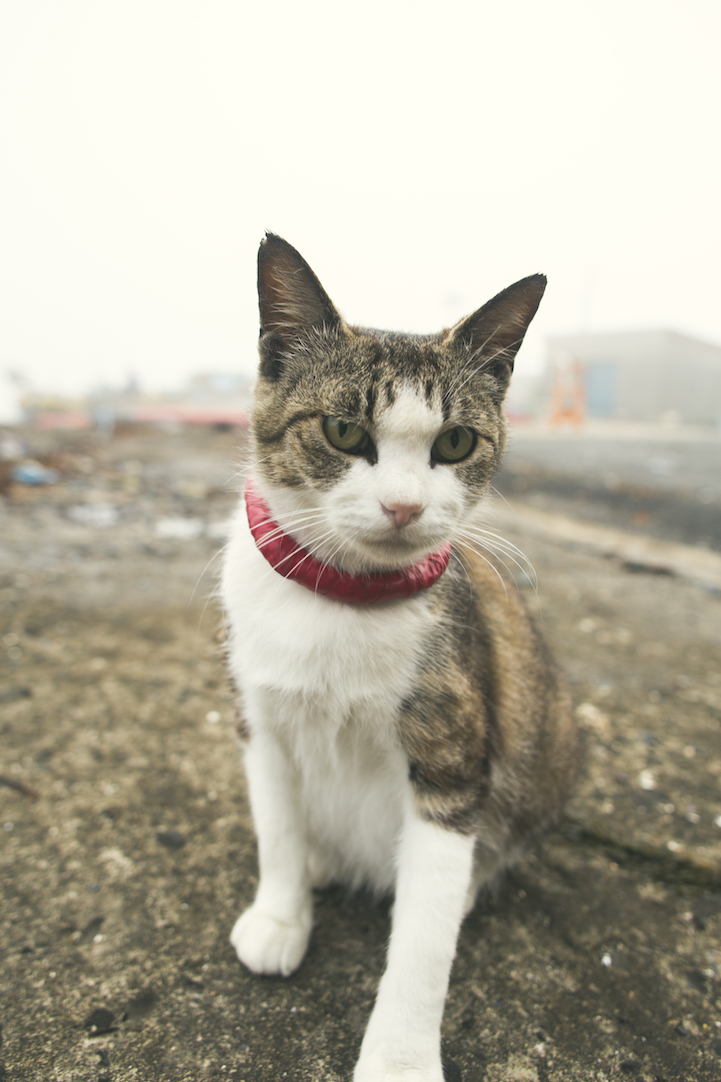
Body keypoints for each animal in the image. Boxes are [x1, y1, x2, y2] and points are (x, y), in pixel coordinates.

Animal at [221, 236, 575, 1082]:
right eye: (344, 432)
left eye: (455, 442)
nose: (405, 507)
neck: (345, 597)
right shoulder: (259, 719)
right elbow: (276, 825)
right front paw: (280, 914)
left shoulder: (450, 759)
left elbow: (423, 936)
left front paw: (400, 1055)